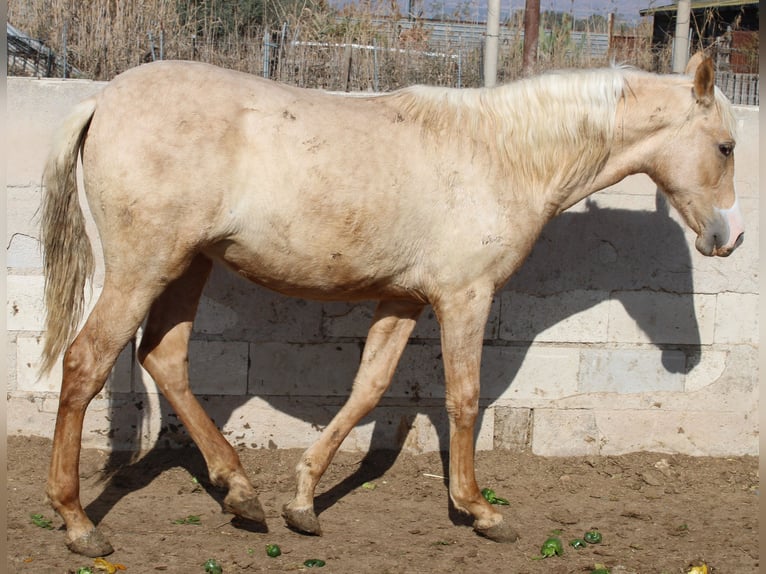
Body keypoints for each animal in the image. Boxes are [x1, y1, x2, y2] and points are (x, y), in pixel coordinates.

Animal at [40, 55, 744, 560]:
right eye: (727, 147)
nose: (729, 238)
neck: (499, 155)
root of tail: (103, 99)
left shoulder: (402, 299)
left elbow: (368, 390)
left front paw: (303, 503)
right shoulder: (464, 296)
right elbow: (464, 398)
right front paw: (480, 511)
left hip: (188, 266)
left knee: (165, 358)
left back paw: (241, 493)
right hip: (144, 267)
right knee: (86, 361)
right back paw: (79, 524)